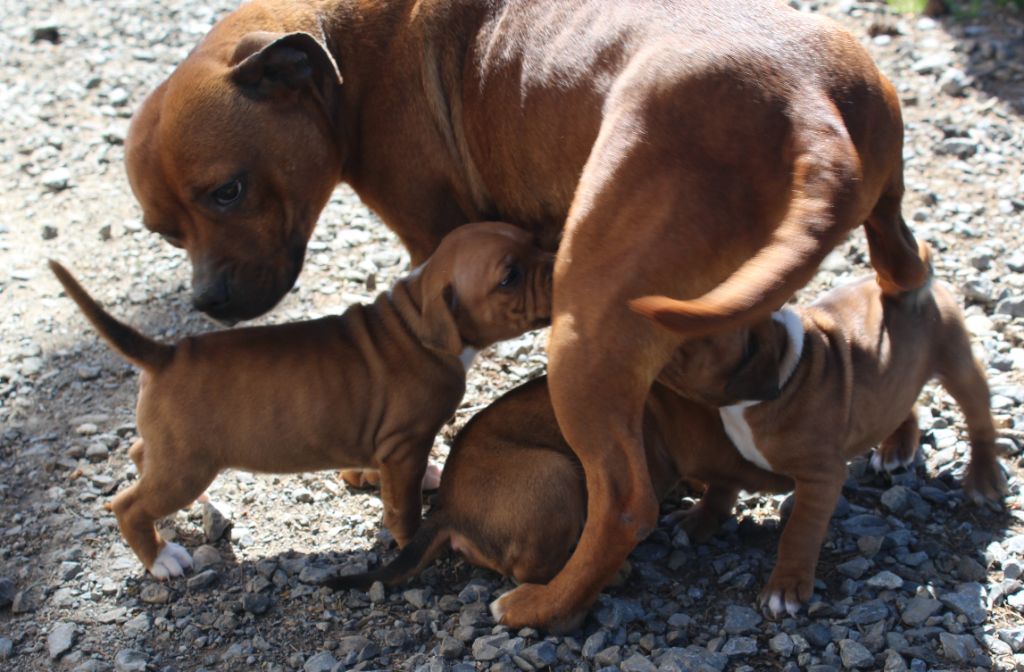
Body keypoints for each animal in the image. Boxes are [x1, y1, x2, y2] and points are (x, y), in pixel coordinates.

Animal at [51, 223, 557, 581]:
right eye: (510, 276)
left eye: (533, 240)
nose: (559, 262)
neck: (414, 320)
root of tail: (166, 353)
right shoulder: (403, 446)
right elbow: (404, 507)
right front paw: (413, 540)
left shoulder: (388, 446)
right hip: (186, 464)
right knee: (128, 506)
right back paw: (160, 559)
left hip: (173, 452)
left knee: (140, 452)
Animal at [630, 243, 1007, 618]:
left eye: (691, 329)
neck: (787, 367)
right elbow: (721, 487)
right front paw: (700, 518)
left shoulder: (821, 477)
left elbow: (799, 532)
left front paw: (785, 588)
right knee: (902, 402)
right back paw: (897, 446)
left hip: (958, 364)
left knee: (980, 421)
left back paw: (983, 478)